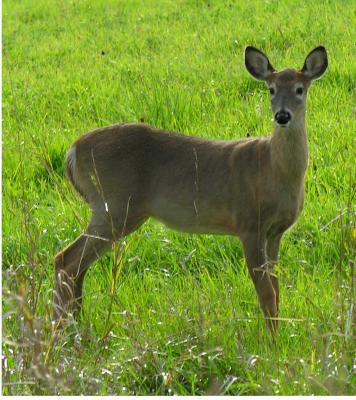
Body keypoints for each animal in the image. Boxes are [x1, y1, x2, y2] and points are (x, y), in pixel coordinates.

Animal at [52, 46, 328, 334]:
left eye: (299, 89)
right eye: (271, 89)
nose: (282, 116)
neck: (274, 171)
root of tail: (72, 152)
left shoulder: (275, 232)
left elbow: (276, 288)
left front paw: (279, 331)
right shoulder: (249, 224)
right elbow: (266, 293)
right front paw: (272, 339)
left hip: (111, 210)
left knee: (78, 266)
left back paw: (75, 323)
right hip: (113, 206)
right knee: (66, 260)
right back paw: (61, 328)